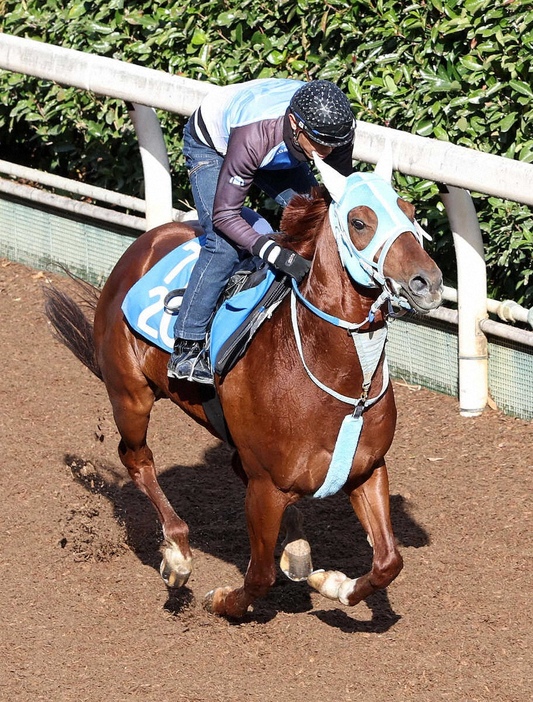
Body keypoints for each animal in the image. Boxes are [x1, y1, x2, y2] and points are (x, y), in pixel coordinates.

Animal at [44, 155, 440, 620]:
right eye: (360, 221)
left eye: (410, 212)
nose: (428, 282)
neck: (340, 383)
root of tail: (146, 242)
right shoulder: (266, 488)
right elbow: (259, 577)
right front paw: (220, 601)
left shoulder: (368, 469)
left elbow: (388, 562)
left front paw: (333, 583)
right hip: (130, 395)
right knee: (136, 459)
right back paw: (178, 553)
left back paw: (296, 550)